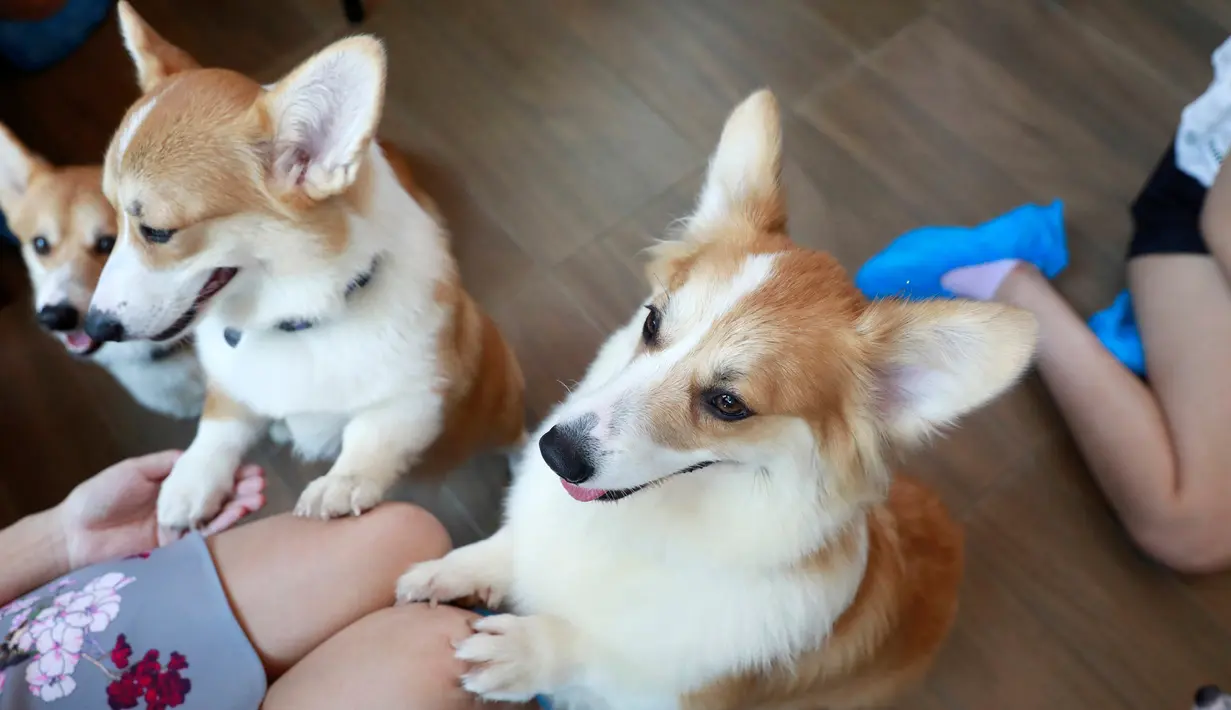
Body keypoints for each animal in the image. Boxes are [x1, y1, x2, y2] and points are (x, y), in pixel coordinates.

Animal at [84, 2, 526, 529]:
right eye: (112, 222)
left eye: (156, 231)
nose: (94, 326)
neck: (296, 320)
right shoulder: (228, 388)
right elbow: (217, 427)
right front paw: (190, 482)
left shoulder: (419, 395)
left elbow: (374, 435)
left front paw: (342, 483)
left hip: (499, 394)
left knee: (516, 434)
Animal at [396, 91, 1038, 703]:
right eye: (652, 323)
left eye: (729, 404)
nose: (555, 452)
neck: (641, 528)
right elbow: (509, 547)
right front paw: (450, 570)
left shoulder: (671, 692)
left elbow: (605, 659)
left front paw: (525, 651)